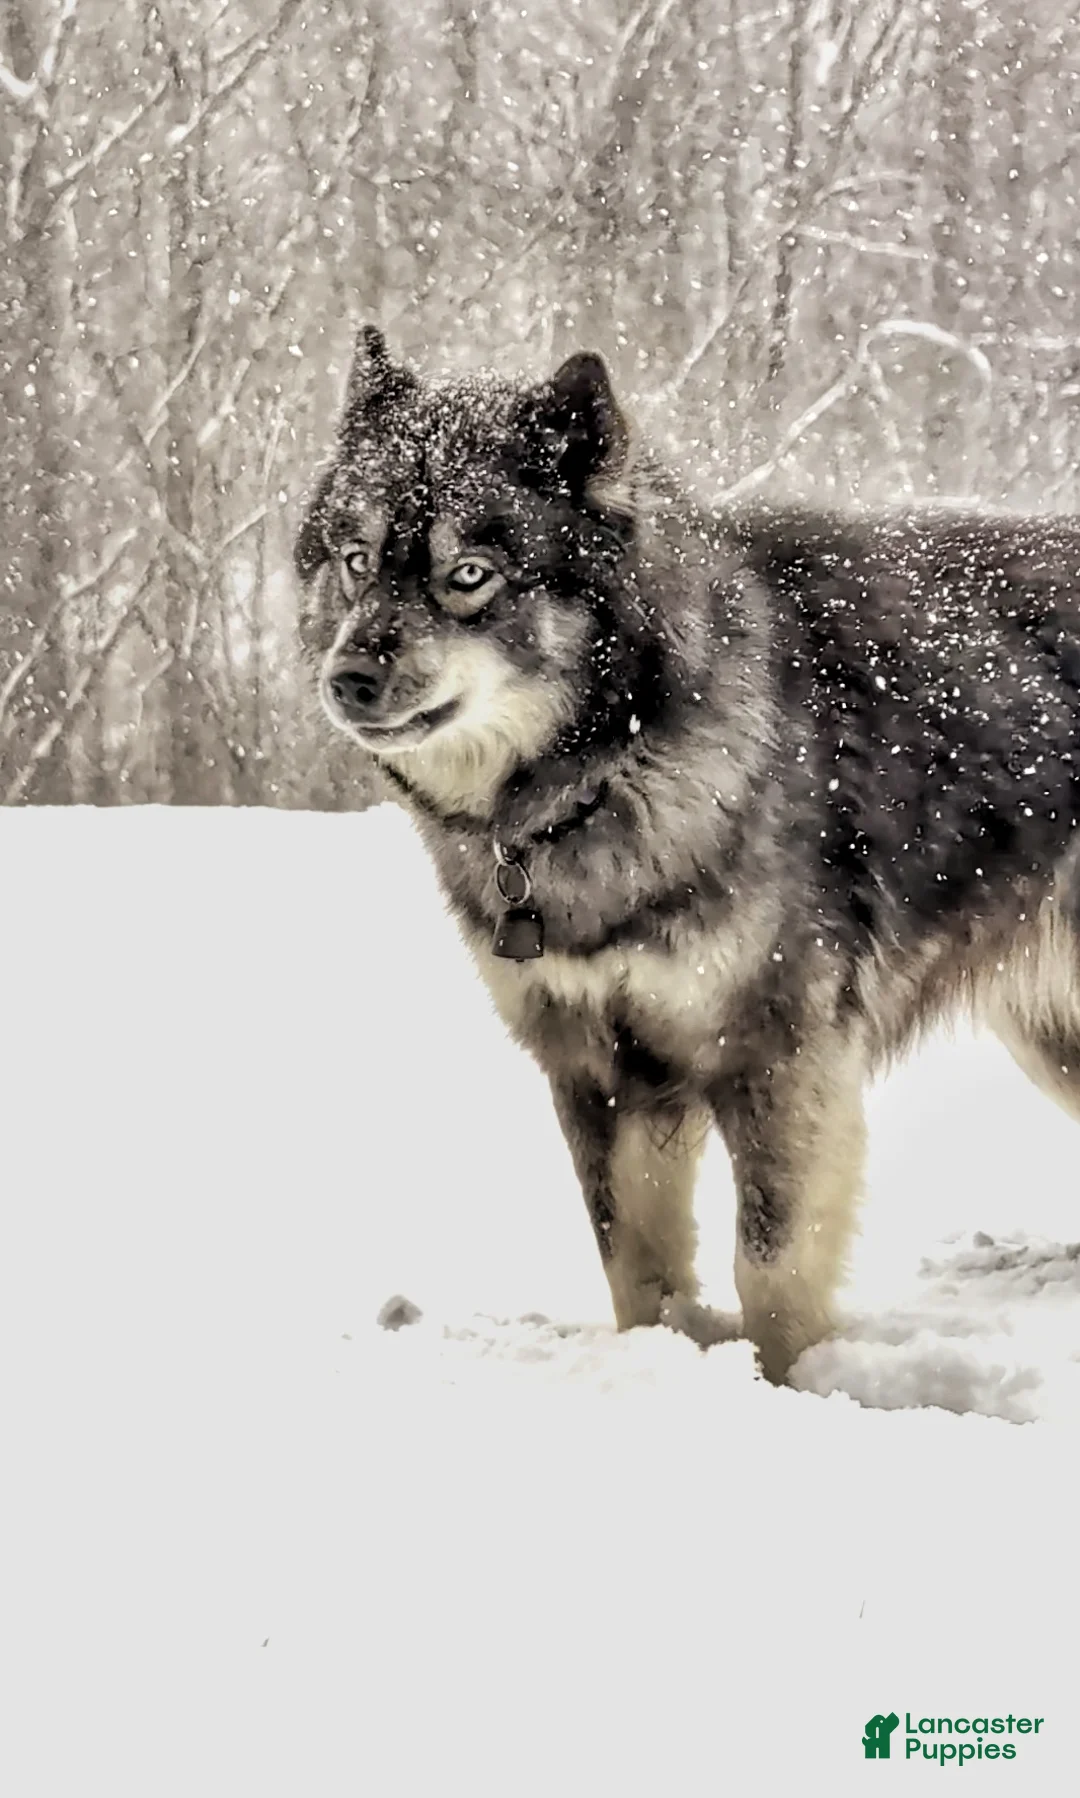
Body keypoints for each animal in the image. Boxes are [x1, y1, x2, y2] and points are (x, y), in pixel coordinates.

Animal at [295, 323, 1080, 1383]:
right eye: (353, 558)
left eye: (470, 576)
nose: (349, 679)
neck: (616, 765)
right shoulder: (603, 1072)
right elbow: (637, 1266)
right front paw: (665, 1359)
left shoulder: (778, 1058)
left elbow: (772, 1269)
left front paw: (792, 1389)